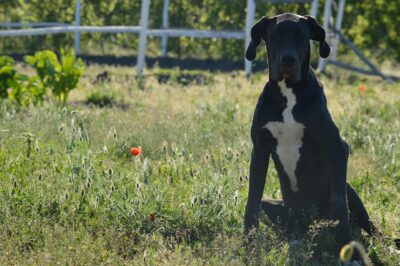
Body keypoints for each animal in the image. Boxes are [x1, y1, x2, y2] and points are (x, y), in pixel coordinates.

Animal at [242, 13, 376, 258]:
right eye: (274, 35)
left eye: (301, 36)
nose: (287, 60)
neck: (288, 94)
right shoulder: (260, 150)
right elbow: (252, 200)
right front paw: (248, 244)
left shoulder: (337, 147)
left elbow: (338, 205)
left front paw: (347, 248)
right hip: (279, 210)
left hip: (352, 193)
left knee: (369, 227)